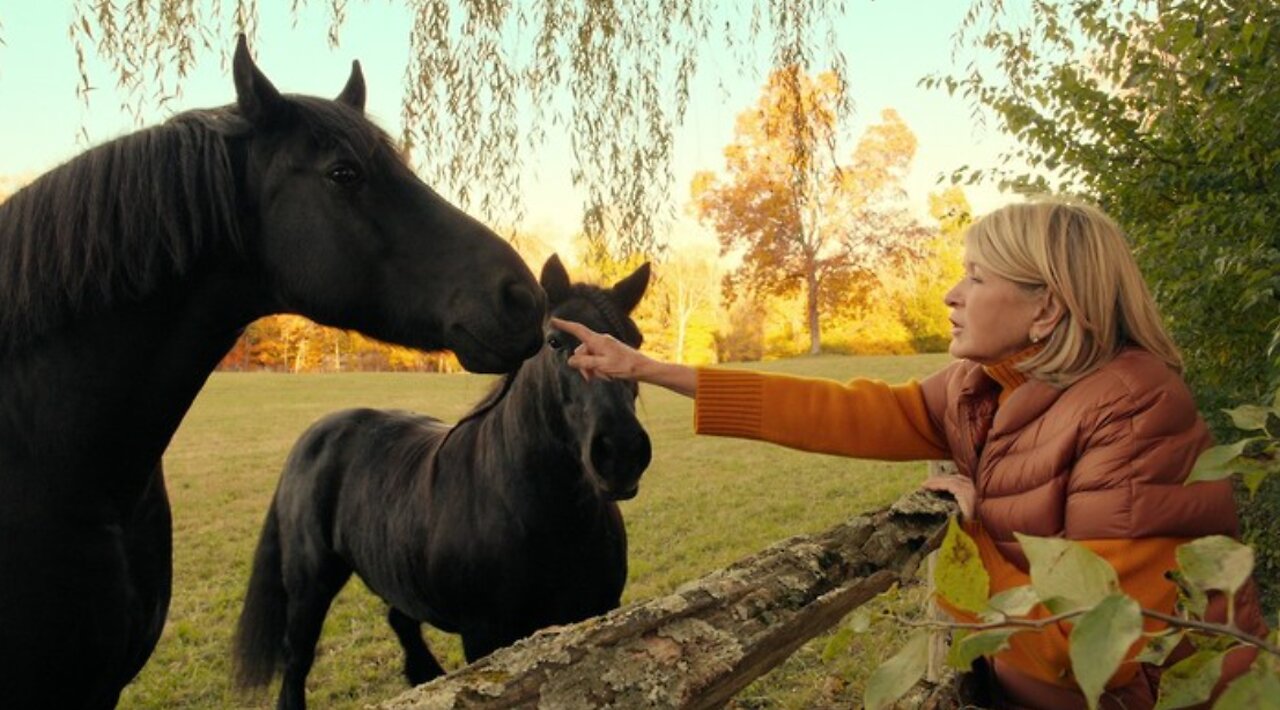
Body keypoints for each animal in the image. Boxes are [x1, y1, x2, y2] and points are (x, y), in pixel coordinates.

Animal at [232, 257, 650, 710]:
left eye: (634, 341)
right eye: (555, 341)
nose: (621, 451)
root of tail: (315, 434)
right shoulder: (486, 637)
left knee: (400, 618)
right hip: (310, 583)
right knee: (297, 659)